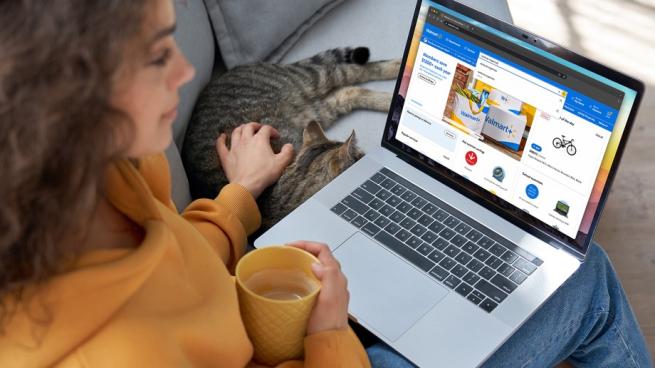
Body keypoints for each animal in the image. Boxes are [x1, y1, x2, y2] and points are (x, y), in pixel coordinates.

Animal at [182, 47, 402, 229]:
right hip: (318, 105)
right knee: (349, 89)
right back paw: (390, 98)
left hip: (312, 82)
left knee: (353, 72)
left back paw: (396, 72)